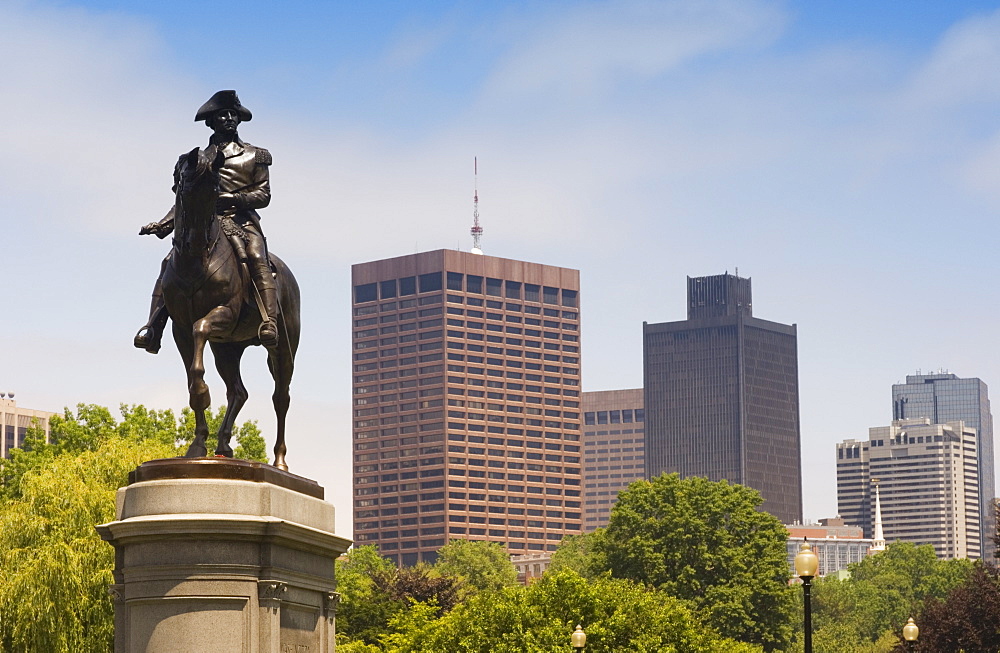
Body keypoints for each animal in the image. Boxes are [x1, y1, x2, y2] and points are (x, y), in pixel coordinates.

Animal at [160, 149, 298, 468]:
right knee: (238, 392)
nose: (195, 241)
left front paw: (202, 394)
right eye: (184, 185)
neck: (195, 264)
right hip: (227, 347)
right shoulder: (180, 329)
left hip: (283, 350)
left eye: (214, 190)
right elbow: (192, 371)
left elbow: (200, 333)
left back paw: (280, 461)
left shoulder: (222, 314)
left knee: (280, 398)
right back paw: (223, 445)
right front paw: (198, 443)